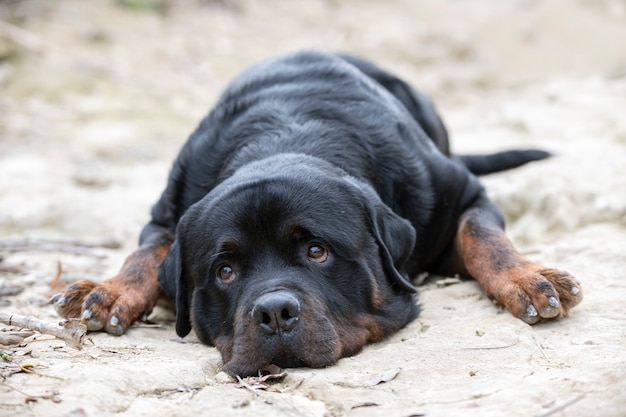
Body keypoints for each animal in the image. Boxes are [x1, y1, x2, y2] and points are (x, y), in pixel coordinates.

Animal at [53, 52, 580, 376]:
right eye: (224, 271)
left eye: (316, 251)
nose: (274, 312)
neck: (287, 135)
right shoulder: (168, 212)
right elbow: (145, 253)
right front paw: (110, 289)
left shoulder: (462, 191)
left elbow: (483, 237)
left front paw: (527, 278)